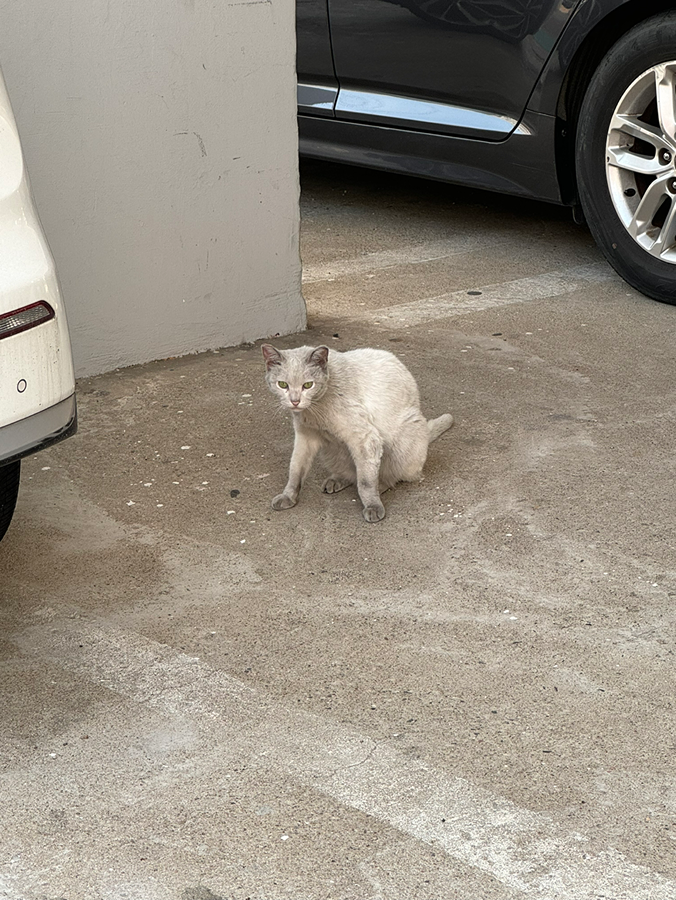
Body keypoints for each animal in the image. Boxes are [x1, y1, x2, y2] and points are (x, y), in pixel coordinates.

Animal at [262, 344, 452, 524]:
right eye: (283, 385)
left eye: (308, 385)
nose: (295, 401)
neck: (314, 411)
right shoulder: (305, 437)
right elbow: (295, 471)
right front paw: (288, 497)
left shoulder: (365, 439)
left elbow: (365, 482)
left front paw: (372, 507)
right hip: (333, 449)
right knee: (351, 472)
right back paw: (335, 482)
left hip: (403, 441)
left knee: (389, 476)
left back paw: (378, 489)